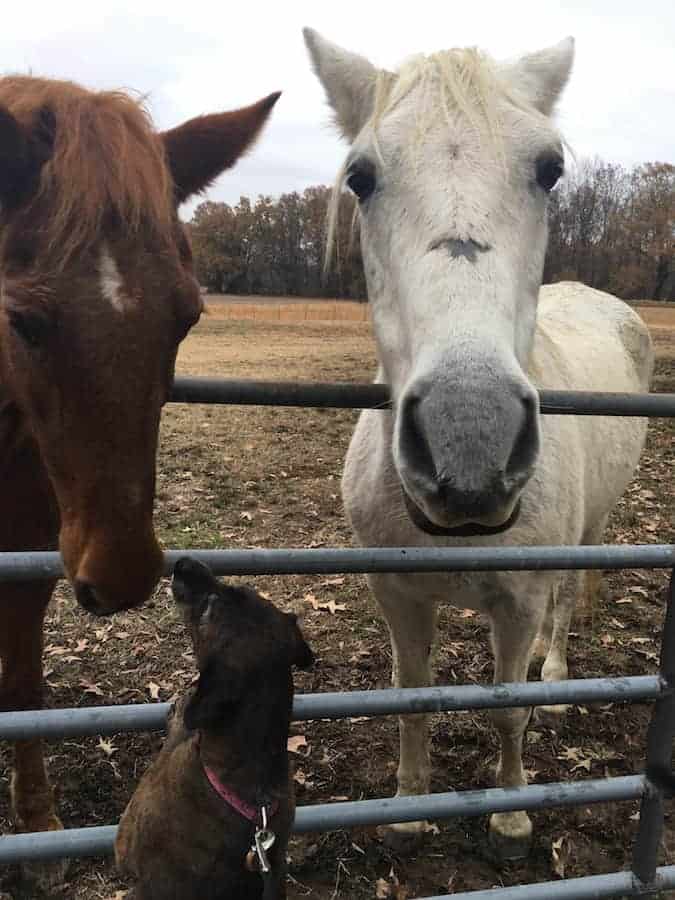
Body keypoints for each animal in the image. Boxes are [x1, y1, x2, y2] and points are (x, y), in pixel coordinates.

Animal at [0, 74, 280, 884]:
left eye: (187, 318)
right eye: (21, 320)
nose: (123, 574)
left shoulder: (28, 555)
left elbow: (20, 683)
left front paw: (37, 822)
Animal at [304, 29, 656, 856]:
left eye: (549, 169)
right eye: (360, 176)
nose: (470, 443)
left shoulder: (518, 601)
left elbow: (505, 706)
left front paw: (510, 812)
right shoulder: (397, 596)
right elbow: (410, 697)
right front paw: (406, 812)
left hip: (590, 529)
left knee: (565, 604)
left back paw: (556, 680)